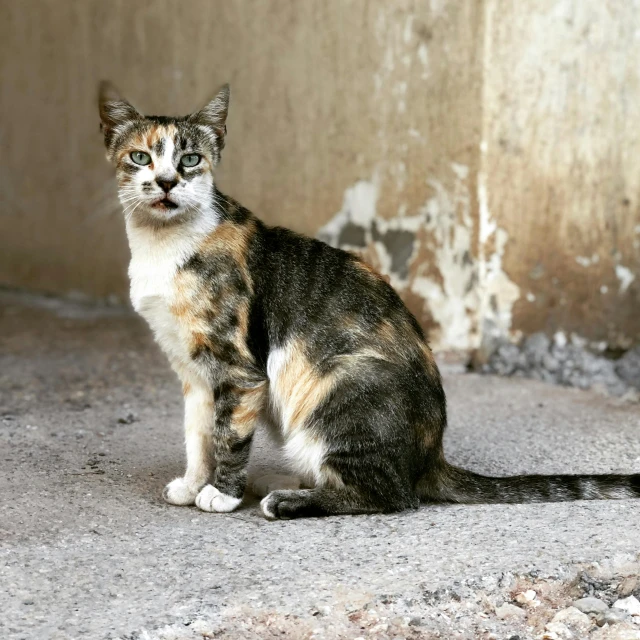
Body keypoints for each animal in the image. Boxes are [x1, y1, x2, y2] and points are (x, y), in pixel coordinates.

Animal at [99, 81, 640, 520]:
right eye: (141, 158)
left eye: (190, 160)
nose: (166, 182)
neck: (162, 246)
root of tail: (430, 457)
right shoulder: (192, 371)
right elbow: (198, 434)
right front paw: (193, 483)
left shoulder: (239, 369)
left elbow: (228, 434)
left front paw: (222, 494)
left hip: (338, 384)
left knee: (392, 495)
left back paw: (285, 499)